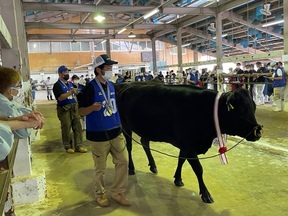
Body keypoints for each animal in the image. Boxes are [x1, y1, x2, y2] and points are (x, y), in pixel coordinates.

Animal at [115, 82, 260, 203]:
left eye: (254, 107)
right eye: (241, 108)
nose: (258, 132)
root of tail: (125, 85)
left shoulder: (186, 144)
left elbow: (181, 160)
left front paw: (178, 179)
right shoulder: (189, 145)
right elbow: (198, 169)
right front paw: (205, 194)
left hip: (147, 130)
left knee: (144, 142)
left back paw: (153, 166)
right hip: (125, 126)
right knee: (129, 147)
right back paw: (131, 168)